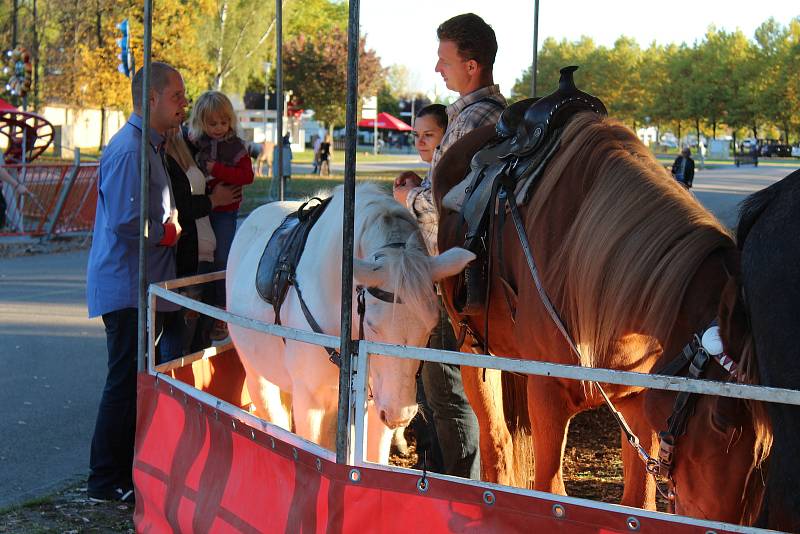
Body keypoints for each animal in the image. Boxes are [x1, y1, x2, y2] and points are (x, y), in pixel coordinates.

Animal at [227, 184, 476, 464]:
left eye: (431, 327)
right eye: (372, 325)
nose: (399, 415)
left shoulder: (376, 402)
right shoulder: (309, 400)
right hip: (257, 375)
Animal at [434, 112, 772, 524]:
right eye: (720, 421)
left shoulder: (639, 402)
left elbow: (639, 504)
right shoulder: (546, 395)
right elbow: (550, 492)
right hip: (474, 350)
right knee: (496, 444)